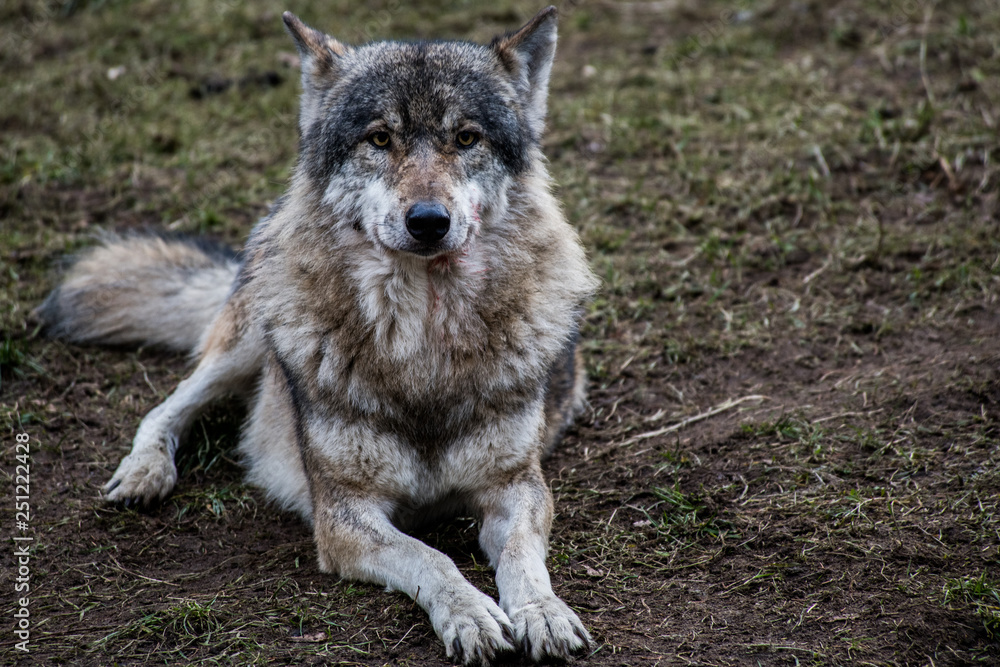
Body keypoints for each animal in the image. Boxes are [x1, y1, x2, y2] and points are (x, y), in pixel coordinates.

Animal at [37, 6, 598, 664]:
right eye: (379, 139)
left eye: (466, 138)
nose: (429, 222)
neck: (425, 344)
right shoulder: (343, 515)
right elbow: (432, 557)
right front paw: (470, 615)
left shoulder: (517, 487)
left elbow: (520, 558)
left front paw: (542, 612)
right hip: (248, 341)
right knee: (166, 406)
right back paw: (145, 471)